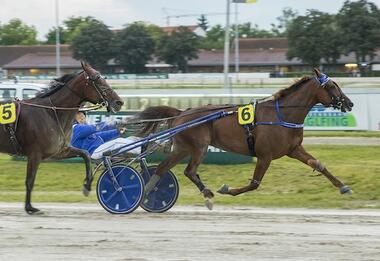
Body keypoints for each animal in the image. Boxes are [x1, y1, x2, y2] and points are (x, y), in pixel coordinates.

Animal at [0, 62, 123, 212]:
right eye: (97, 79)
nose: (119, 102)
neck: (51, 113)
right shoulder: (34, 154)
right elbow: (30, 180)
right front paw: (29, 207)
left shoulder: (58, 150)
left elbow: (86, 154)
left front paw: (87, 185)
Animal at [138, 68, 354, 207]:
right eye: (332, 86)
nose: (349, 103)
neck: (282, 115)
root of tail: (182, 112)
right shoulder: (265, 156)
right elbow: (254, 183)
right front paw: (227, 189)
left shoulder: (293, 149)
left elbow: (318, 164)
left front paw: (343, 187)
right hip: (199, 147)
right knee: (190, 171)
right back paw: (206, 195)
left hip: (183, 148)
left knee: (162, 168)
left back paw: (148, 194)